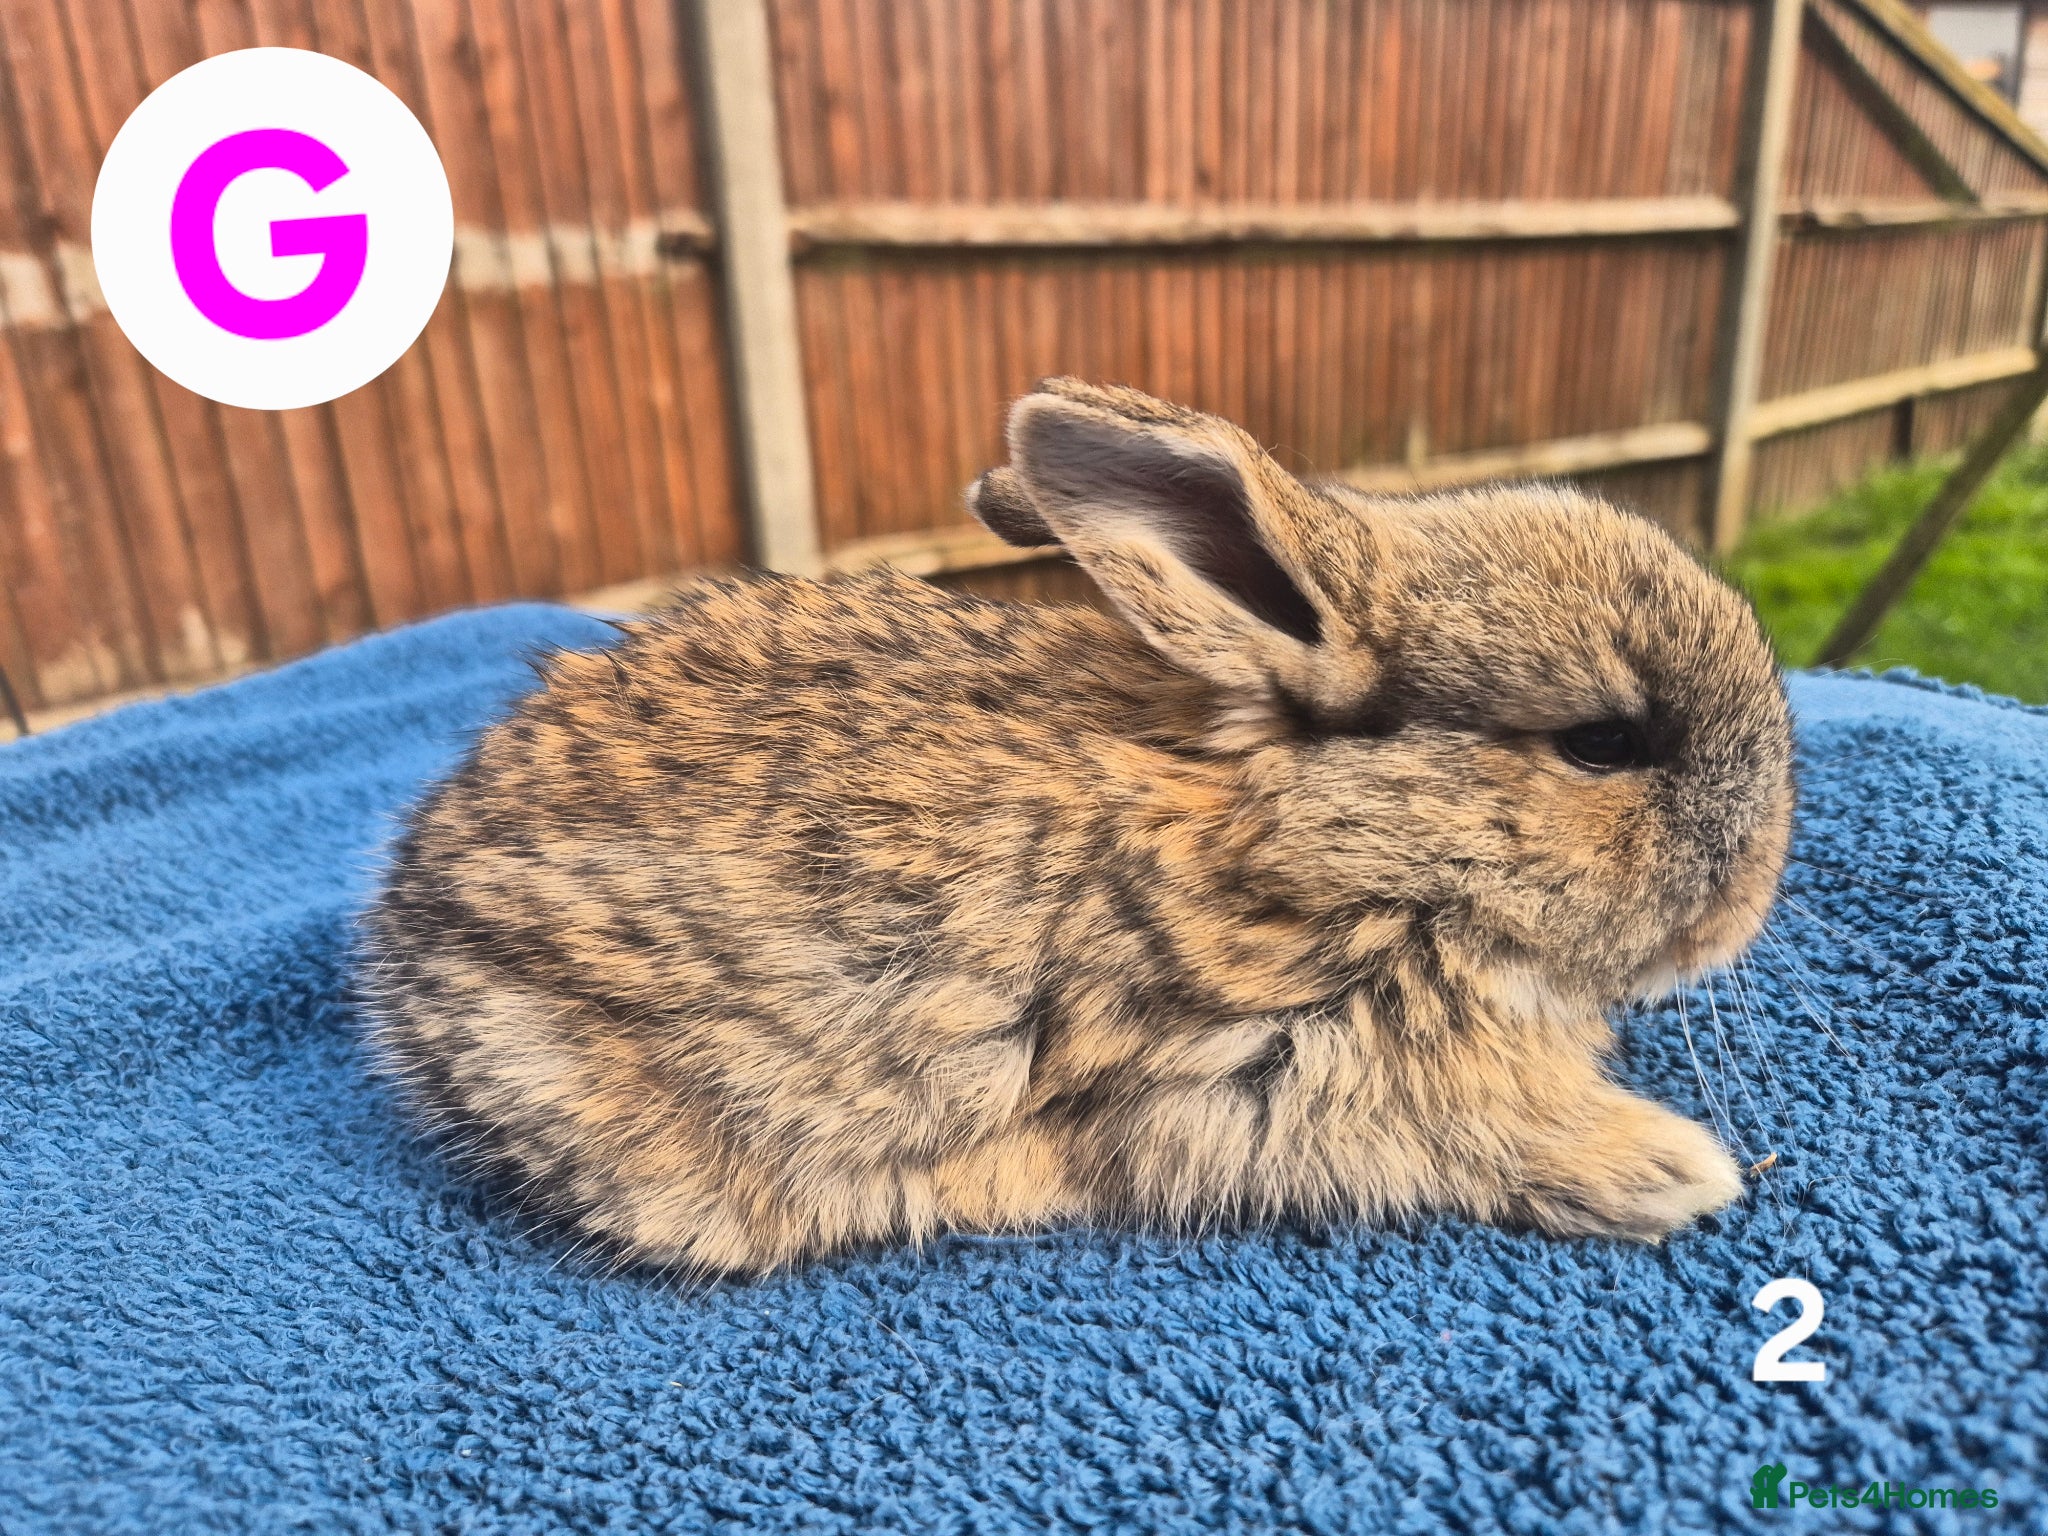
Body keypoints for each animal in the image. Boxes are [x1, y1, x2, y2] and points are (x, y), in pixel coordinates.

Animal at [358, 377, 1793, 1277]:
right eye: (1601, 744)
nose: (1754, 893)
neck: (1351, 844)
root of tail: (407, 918)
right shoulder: (1260, 1075)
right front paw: (1677, 1167)